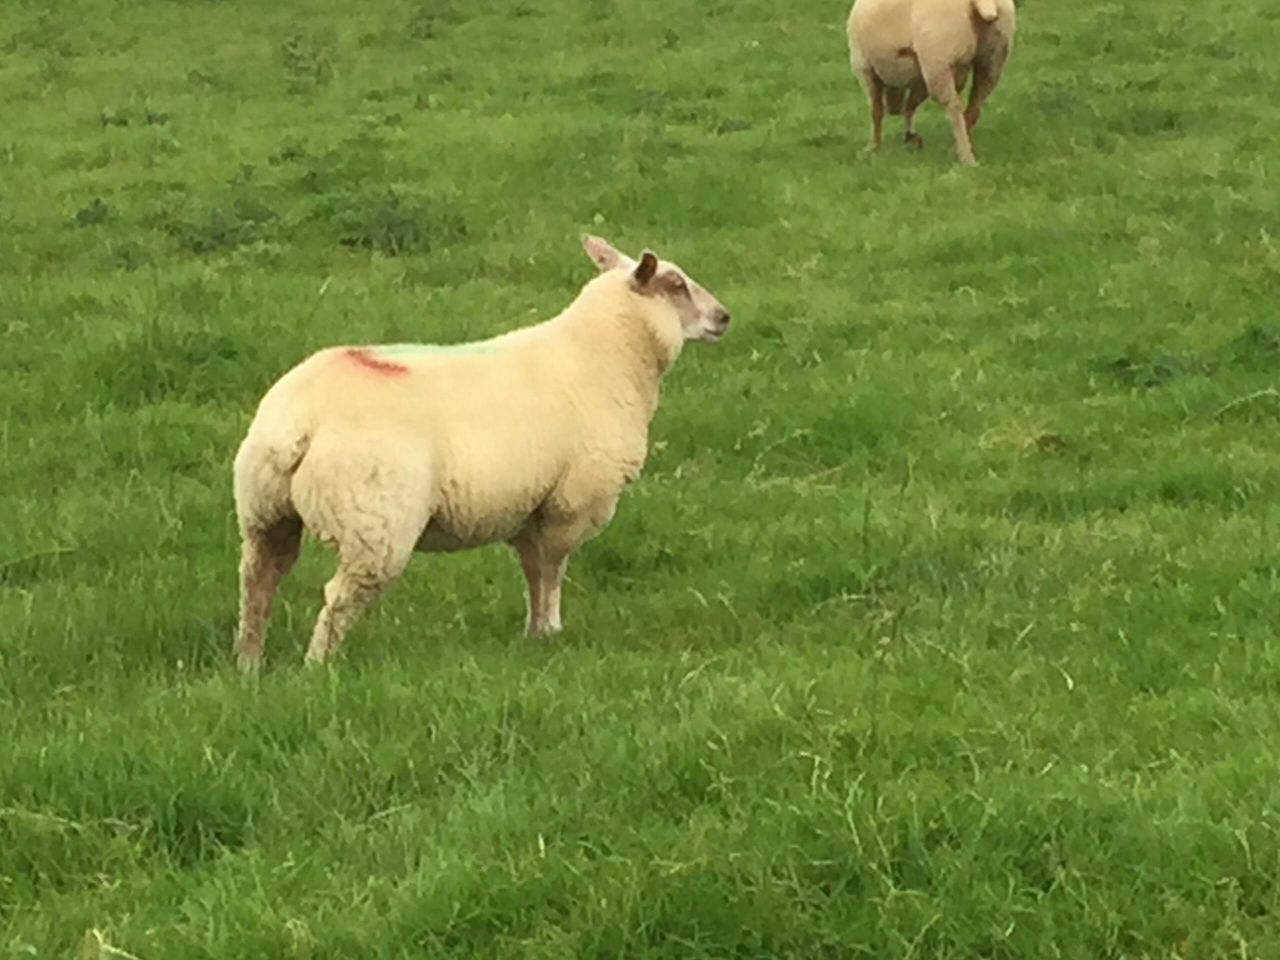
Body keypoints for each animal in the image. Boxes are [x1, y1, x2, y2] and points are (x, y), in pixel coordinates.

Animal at [231, 235, 732, 669]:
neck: (605, 358)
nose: (724, 317)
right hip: (375, 523)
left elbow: (533, 572)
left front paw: (534, 635)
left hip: (264, 511)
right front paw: (551, 631)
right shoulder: (571, 504)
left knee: (257, 582)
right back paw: (318, 668)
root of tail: (299, 422)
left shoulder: (528, 507)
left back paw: (248, 665)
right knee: (336, 599)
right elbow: (552, 572)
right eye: (676, 284)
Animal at [847, 0, 1017, 165]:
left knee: (954, 108)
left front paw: (872, 148)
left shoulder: (864, 67)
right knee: (974, 107)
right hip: (993, 60)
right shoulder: (921, 81)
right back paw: (955, 150)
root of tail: (982, 3)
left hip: (938, 61)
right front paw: (911, 138)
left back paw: (967, 159)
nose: (893, 109)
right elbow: (909, 106)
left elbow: (876, 111)